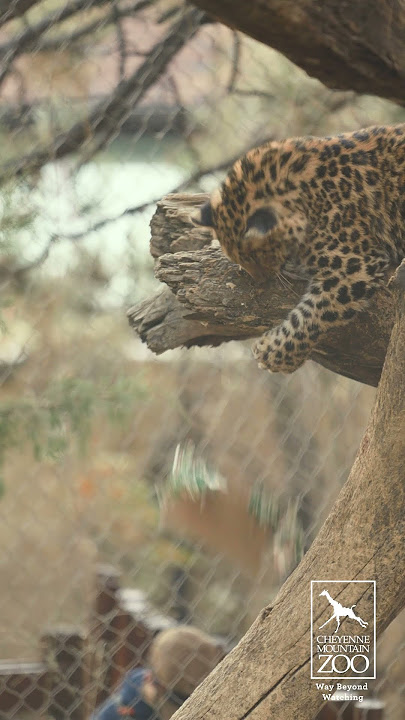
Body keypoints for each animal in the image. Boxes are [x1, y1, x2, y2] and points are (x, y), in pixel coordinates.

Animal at [192, 124, 404, 372]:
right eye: (239, 259)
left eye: (257, 256)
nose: (260, 281)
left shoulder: (355, 267)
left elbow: (312, 315)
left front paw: (272, 355)